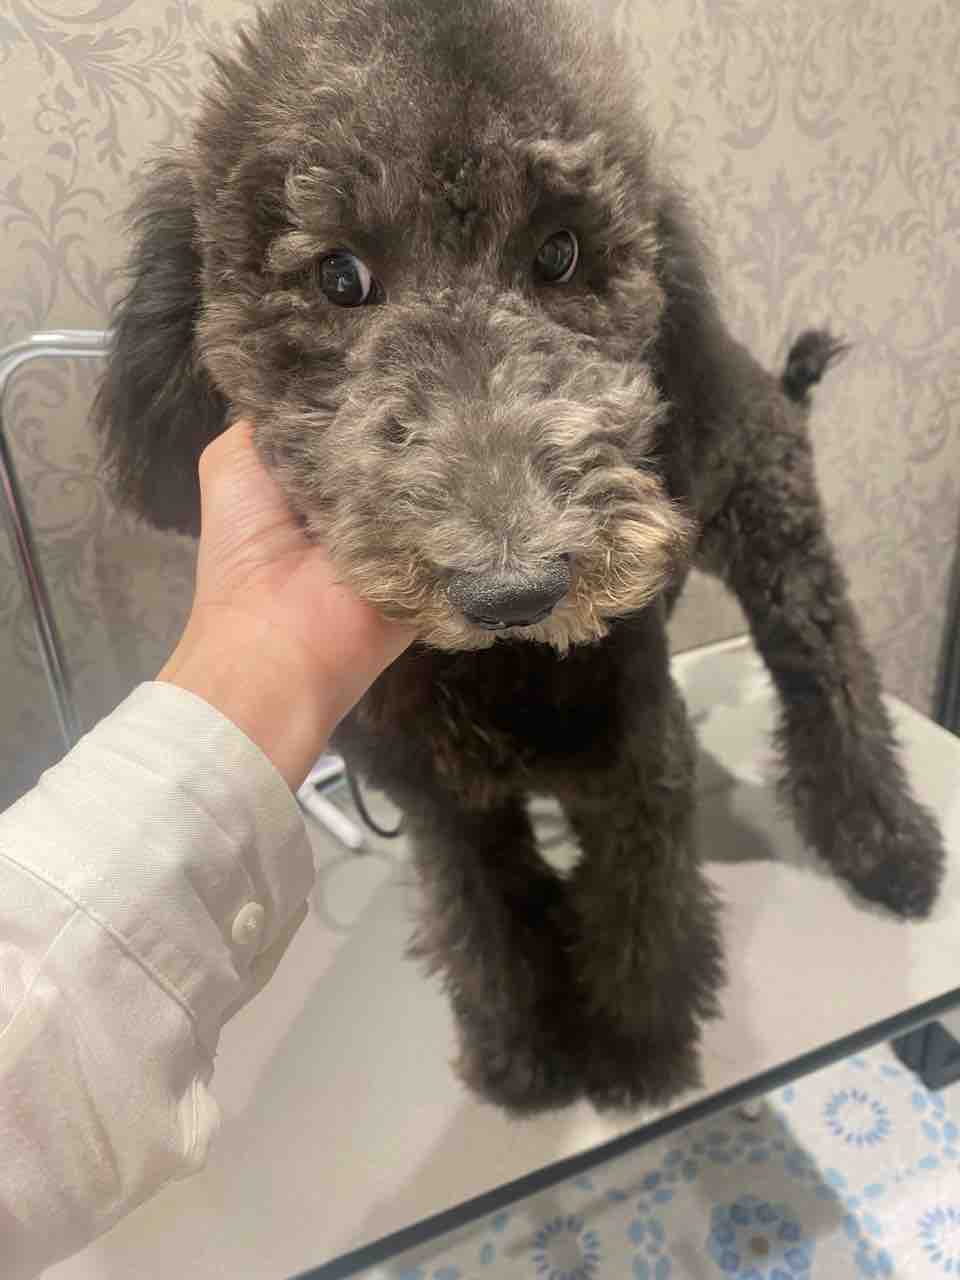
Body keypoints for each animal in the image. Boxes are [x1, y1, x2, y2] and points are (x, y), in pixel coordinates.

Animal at [94, 0, 946, 1113]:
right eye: (338, 275)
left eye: (561, 253)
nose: (515, 587)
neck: (493, 670)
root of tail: (767, 377)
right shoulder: (446, 807)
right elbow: (486, 916)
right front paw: (522, 1051)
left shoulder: (637, 762)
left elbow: (641, 903)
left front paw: (631, 1048)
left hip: (781, 543)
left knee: (830, 676)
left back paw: (887, 846)